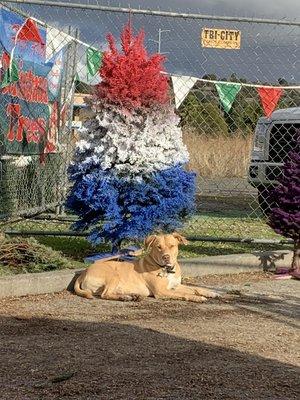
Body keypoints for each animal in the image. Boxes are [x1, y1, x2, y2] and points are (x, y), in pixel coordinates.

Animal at [73, 233, 218, 302]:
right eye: (158, 247)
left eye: (172, 246)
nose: (166, 257)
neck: (166, 269)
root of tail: (84, 272)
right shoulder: (161, 291)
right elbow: (184, 294)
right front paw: (198, 298)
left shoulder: (175, 285)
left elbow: (195, 288)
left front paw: (211, 292)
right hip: (114, 275)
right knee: (105, 294)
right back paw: (125, 298)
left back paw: (131, 296)